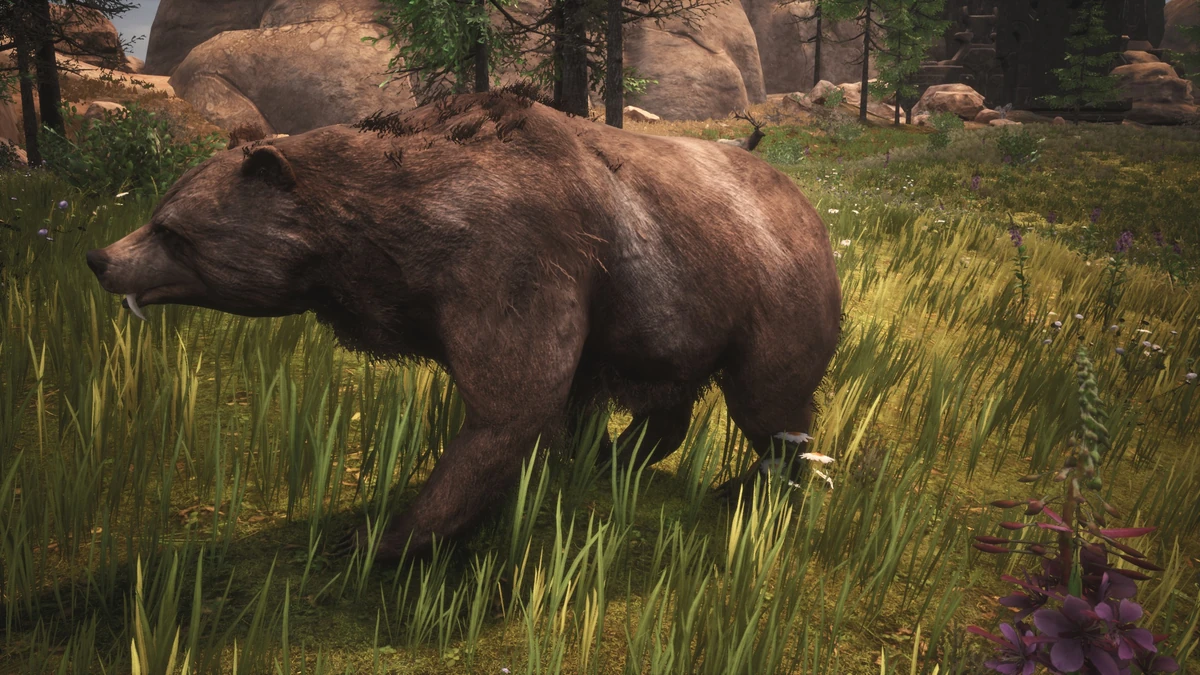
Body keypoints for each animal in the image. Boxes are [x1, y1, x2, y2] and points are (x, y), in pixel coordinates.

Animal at [86, 90, 843, 561]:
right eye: (159, 209)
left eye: (172, 230)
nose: (100, 258)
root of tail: (806, 200)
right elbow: (553, 402)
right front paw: (570, 462)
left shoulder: (513, 258)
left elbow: (509, 407)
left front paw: (381, 540)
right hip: (669, 311)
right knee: (670, 401)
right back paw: (617, 457)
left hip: (766, 292)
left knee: (771, 403)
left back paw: (744, 488)